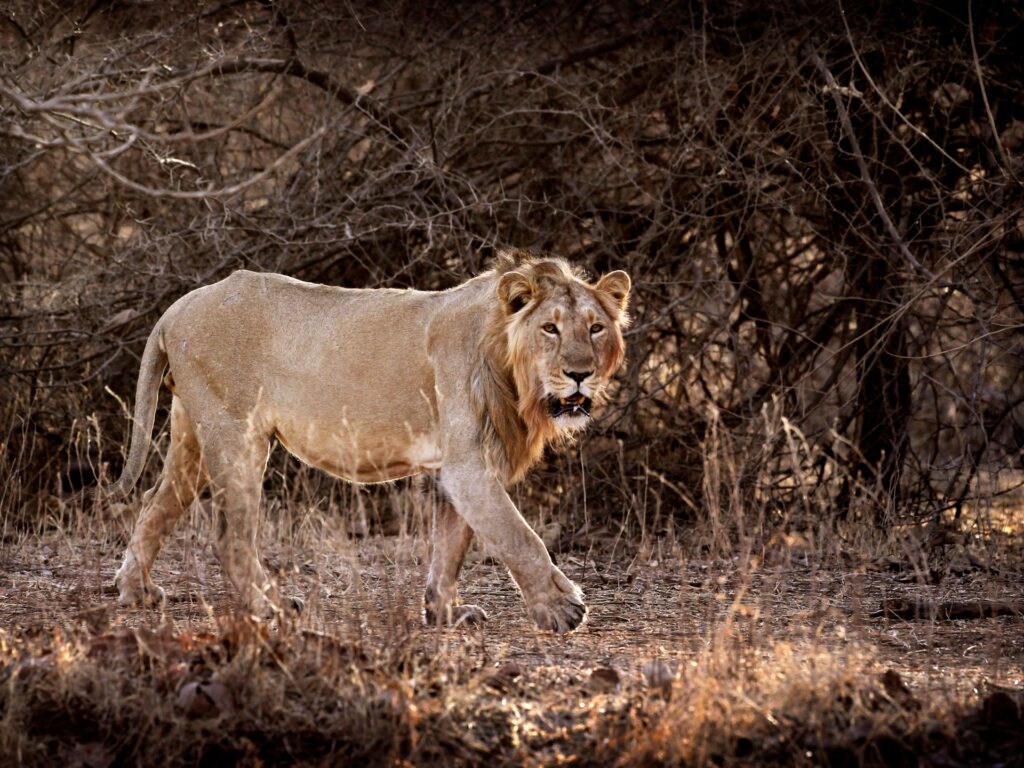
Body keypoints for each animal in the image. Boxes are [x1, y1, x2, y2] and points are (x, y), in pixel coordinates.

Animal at [111, 249, 631, 633]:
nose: (580, 374)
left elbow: (452, 545)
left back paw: (137, 590)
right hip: (235, 433)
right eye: (550, 328)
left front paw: (444, 612)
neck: (509, 365)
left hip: (191, 436)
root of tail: (179, 306)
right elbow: (520, 538)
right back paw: (267, 606)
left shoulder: (455, 468)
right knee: (228, 535)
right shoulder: (469, 467)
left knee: (155, 503)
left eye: (595, 328)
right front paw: (561, 609)